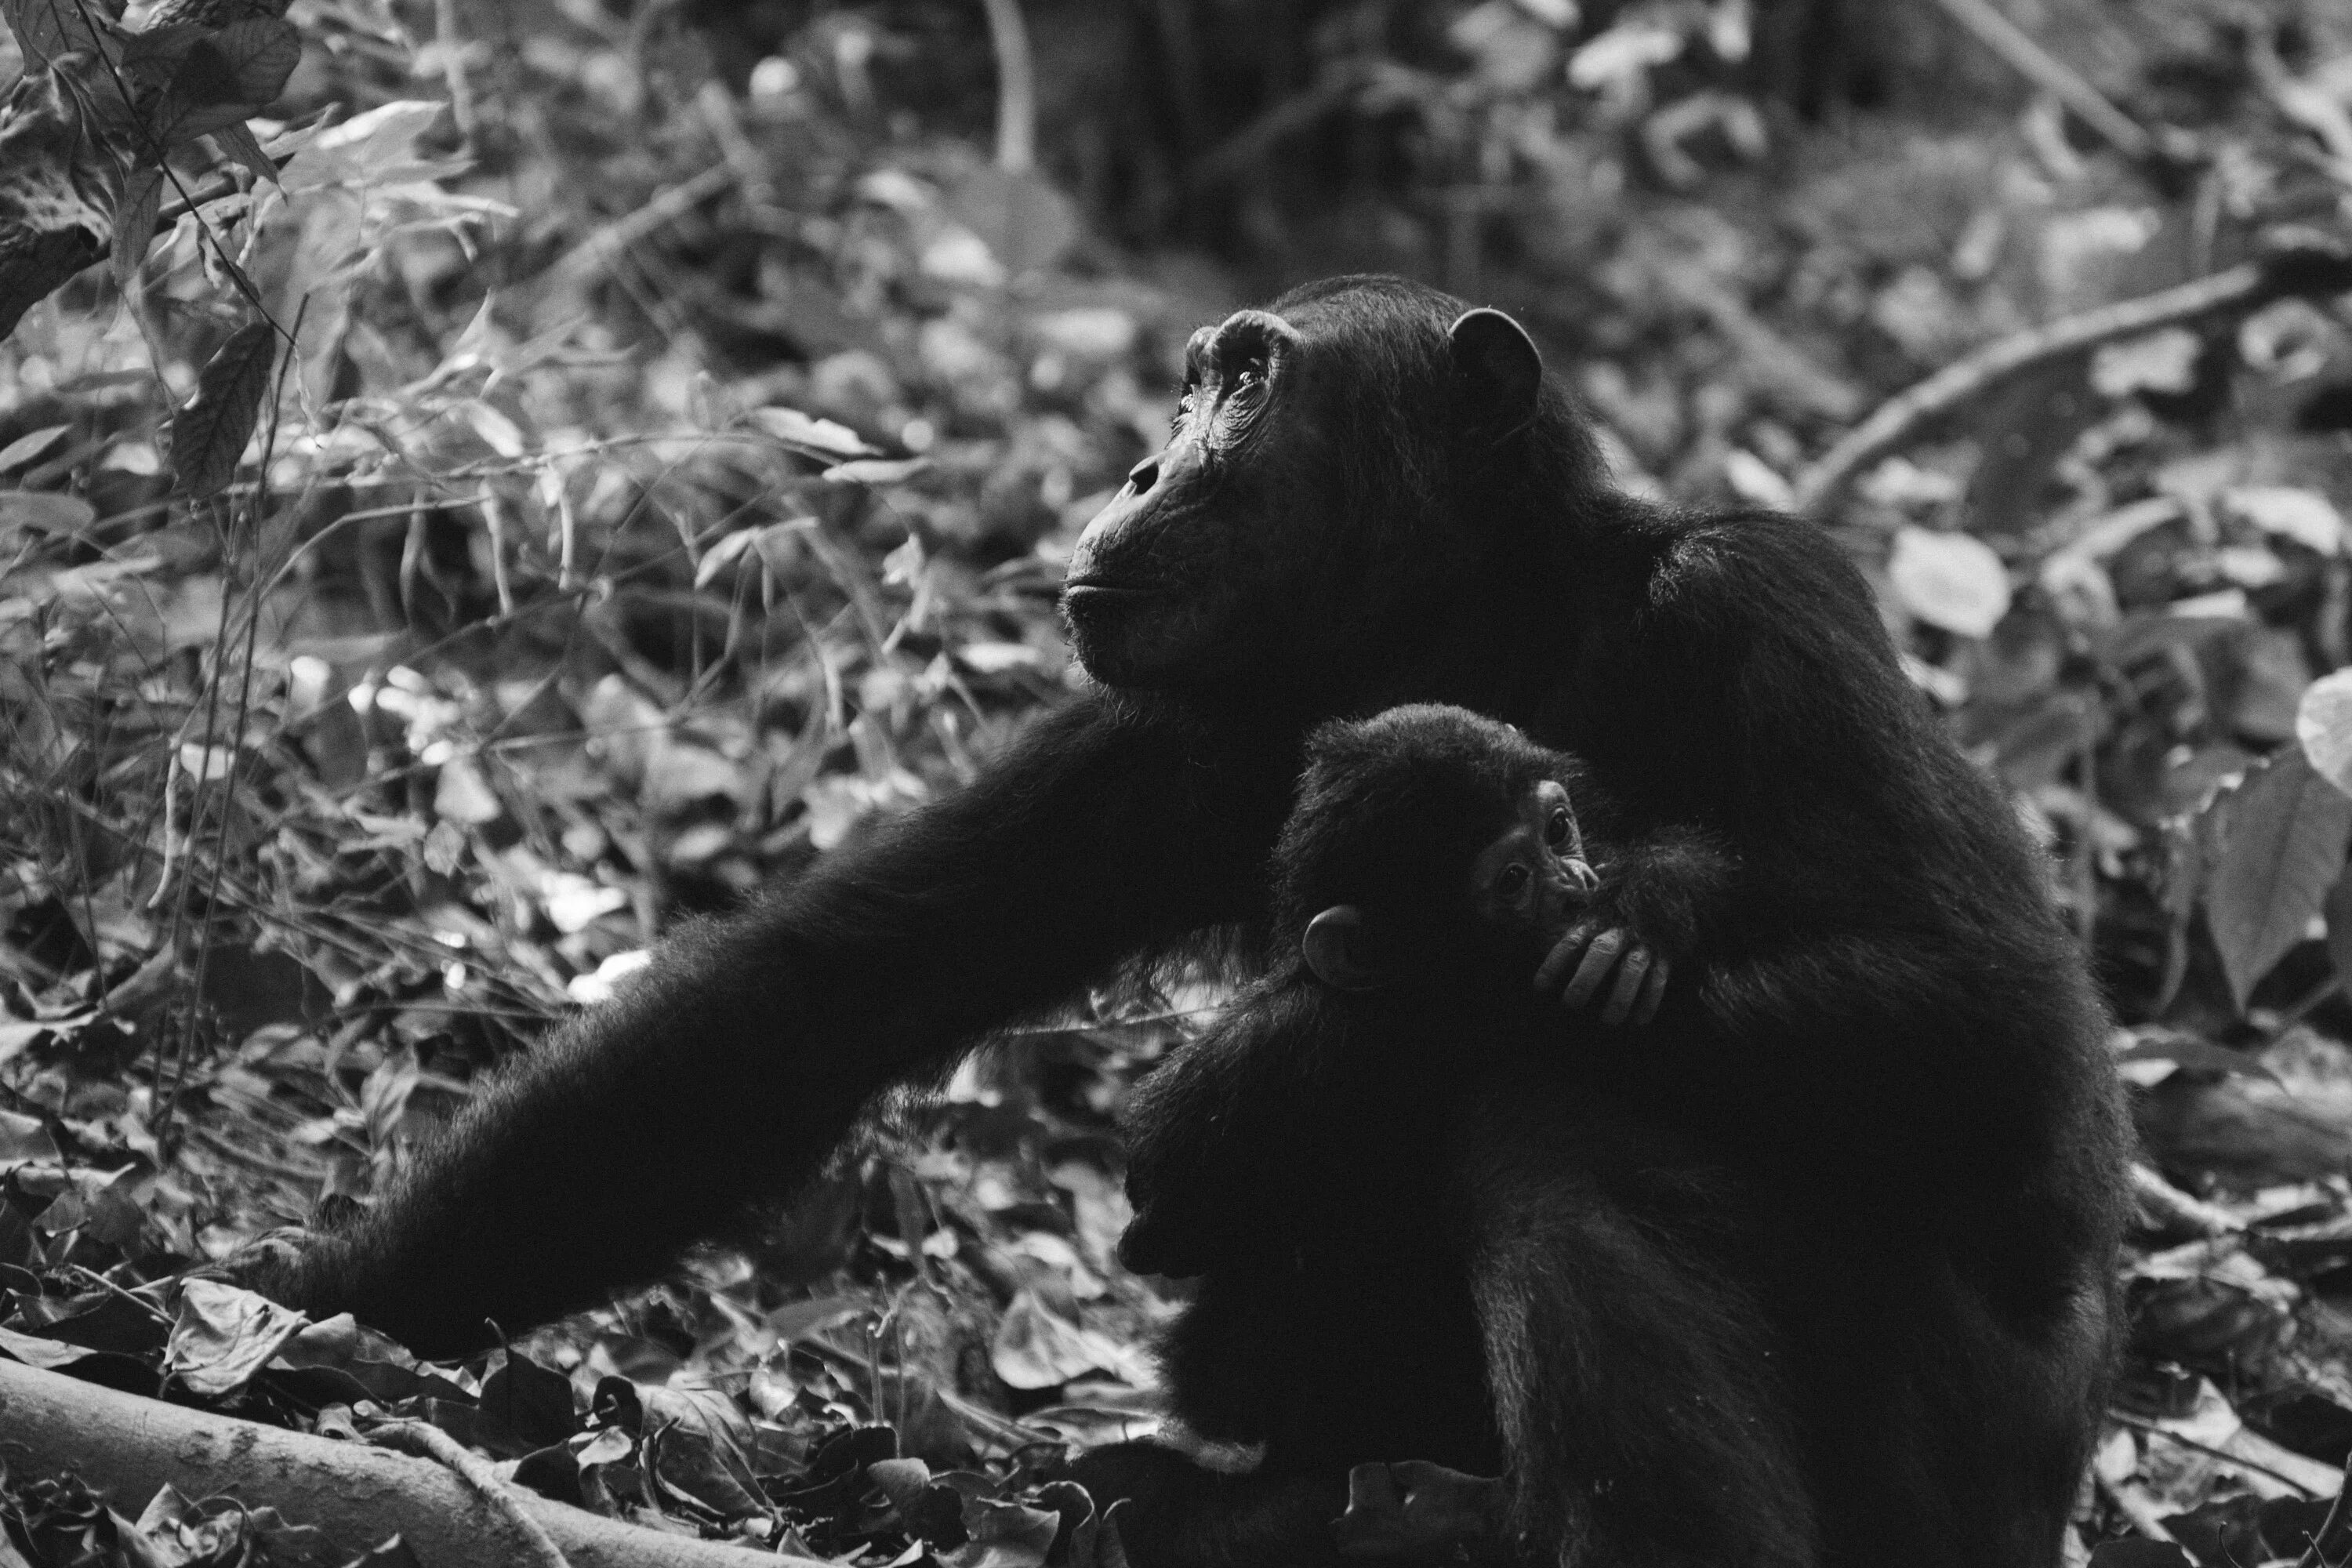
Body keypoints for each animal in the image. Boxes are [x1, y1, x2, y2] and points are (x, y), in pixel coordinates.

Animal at [262, 276, 2136, 1561]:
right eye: (1193, 377)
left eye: (1246, 381)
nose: (1147, 457)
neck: (1489, 624)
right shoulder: (1172, 738)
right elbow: (820, 993)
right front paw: (316, 1323)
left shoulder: (1767, 607)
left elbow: (2002, 1035)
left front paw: (1453, 960)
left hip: (1954, 1486)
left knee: (1571, 1120)